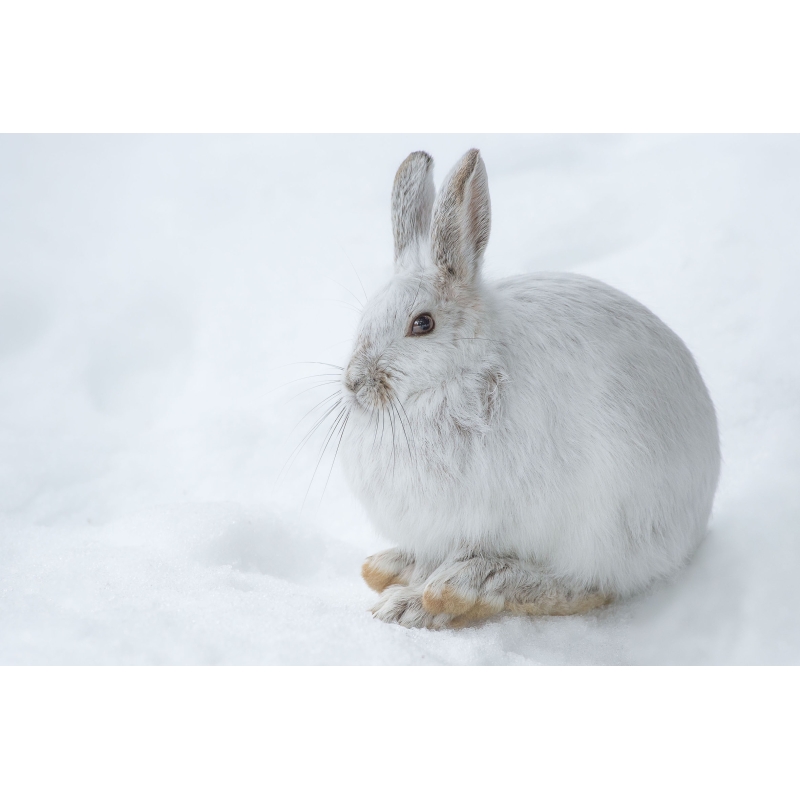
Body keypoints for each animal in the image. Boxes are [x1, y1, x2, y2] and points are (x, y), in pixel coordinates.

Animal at [338, 148, 720, 629]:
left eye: (422, 324)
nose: (354, 383)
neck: (457, 378)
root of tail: (695, 524)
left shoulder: (482, 522)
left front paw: (414, 604)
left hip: (607, 523)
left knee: (586, 586)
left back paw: (459, 588)